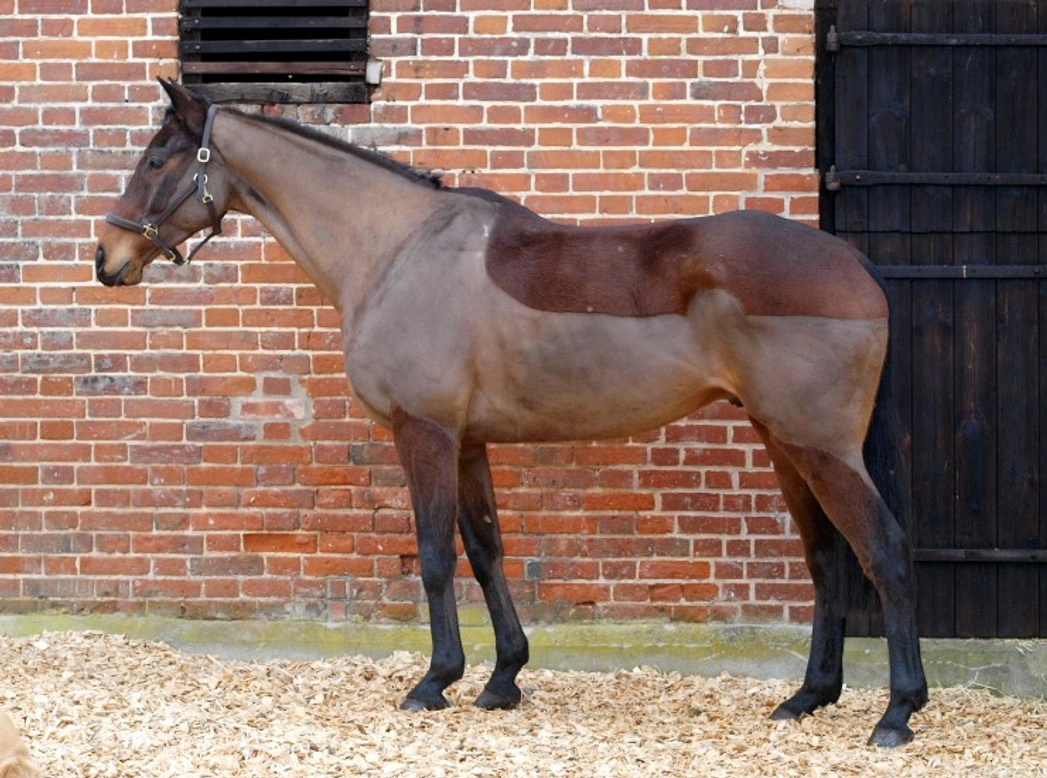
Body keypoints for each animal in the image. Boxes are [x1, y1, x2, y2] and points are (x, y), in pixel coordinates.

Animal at [94, 79, 928, 747]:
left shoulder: (424, 433)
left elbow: (435, 555)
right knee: (824, 558)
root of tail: (850, 263)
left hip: (818, 447)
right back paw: (808, 697)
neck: (395, 249)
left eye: (158, 160)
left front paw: (434, 681)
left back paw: (896, 713)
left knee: (883, 551)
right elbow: (486, 549)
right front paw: (502, 679)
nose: (107, 257)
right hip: (782, 442)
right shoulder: (467, 443)